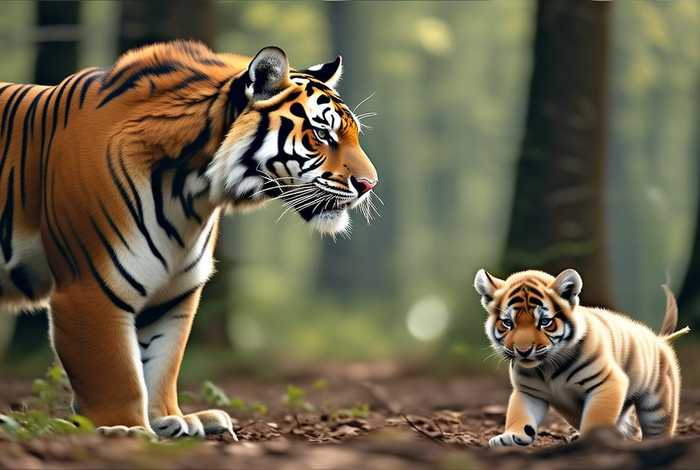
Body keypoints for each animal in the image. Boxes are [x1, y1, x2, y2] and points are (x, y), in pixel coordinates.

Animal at [0, 40, 378, 438]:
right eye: (322, 135)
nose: (370, 184)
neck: (192, 191)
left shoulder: (174, 293)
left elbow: (162, 361)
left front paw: (171, 419)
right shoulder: (89, 288)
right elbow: (115, 372)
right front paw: (125, 428)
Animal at [474, 268, 688, 447]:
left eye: (545, 322)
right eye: (508, 323)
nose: (523, 351)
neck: (547, 368)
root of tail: (659, 339)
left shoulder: (608, 382)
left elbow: (597, 417)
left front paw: (591, 440)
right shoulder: (528, 392)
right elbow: (519, 415)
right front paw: (511, 436)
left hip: (657, 405)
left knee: (657, 427)